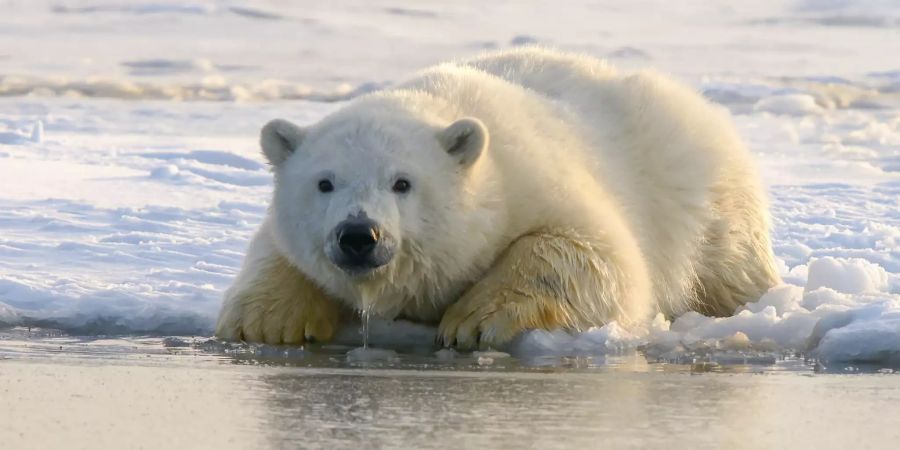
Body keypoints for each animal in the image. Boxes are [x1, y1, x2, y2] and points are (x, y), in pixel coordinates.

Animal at [216, 47, 780, 348]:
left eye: (402, 182)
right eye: (325, 182)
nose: (359, 235)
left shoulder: (535, 180)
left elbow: (597, 256)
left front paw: (472, 321)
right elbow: (274, 249)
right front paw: (267, 322)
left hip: (703, 196)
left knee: (729, 266)